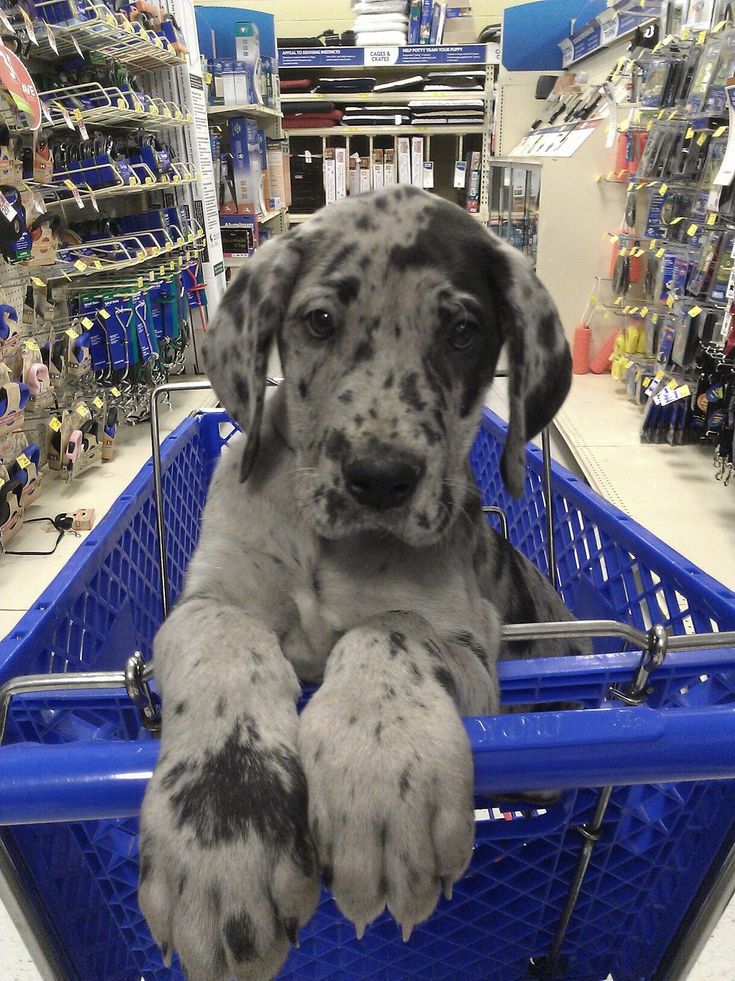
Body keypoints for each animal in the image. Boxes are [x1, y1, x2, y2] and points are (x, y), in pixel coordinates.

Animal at [141, 186, 584, 980]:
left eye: (464, 332)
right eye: (320, 321)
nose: (380, 478)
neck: (329, 549)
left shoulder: (471, 650)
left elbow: (391, 630)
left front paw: (381, 773)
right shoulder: (207, 597)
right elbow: (225, 641)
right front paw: (224, 830)